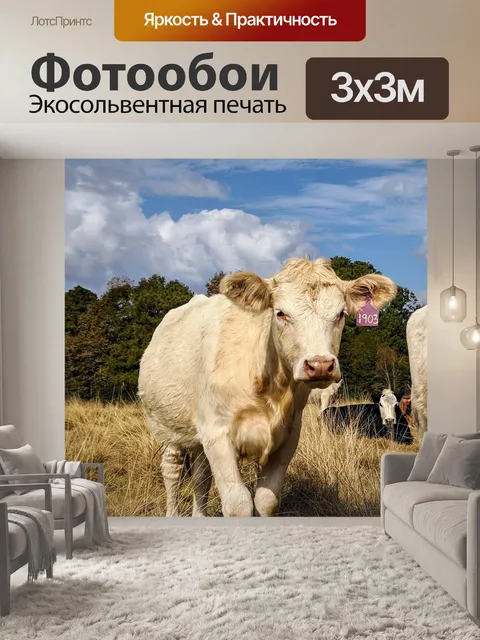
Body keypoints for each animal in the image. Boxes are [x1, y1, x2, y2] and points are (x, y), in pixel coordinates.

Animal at [138, 257, 397, 517]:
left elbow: (266, 500)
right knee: (172, 471)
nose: (320, 365)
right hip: (165, 426)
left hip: (198, 438)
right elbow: (238, 504)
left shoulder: (288, 436)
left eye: (341, 314)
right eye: (280, 313)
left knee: (201, 476)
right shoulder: (217, 433)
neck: (269, 389)